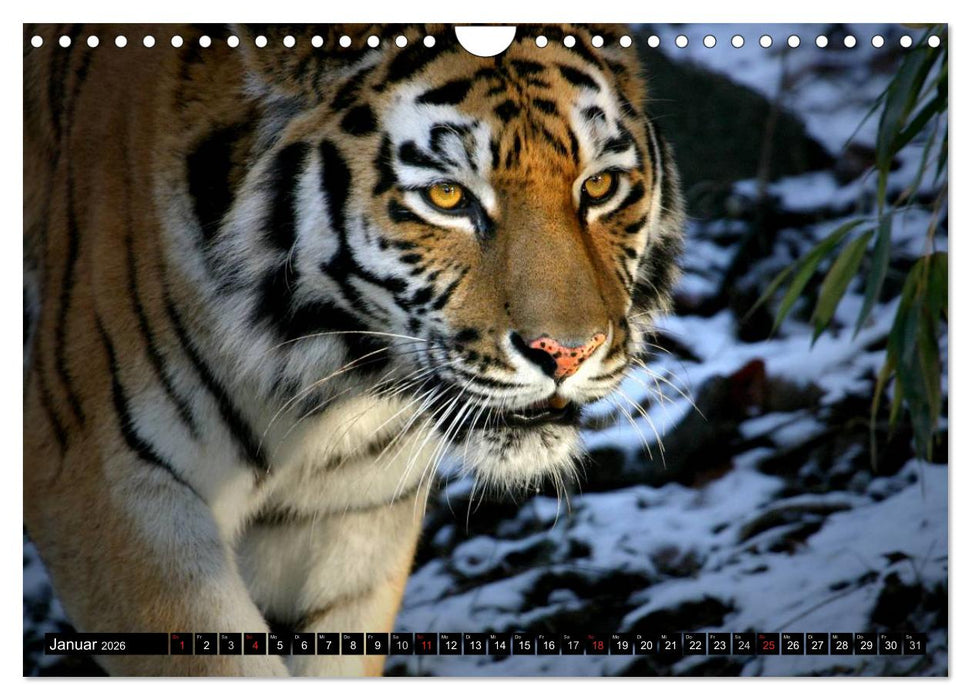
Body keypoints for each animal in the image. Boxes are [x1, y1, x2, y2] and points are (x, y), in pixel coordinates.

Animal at [23, 23, 684, 676]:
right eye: (447, 197)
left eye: (599, 185)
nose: (567, 352)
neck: (320, 381)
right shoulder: (107, 485)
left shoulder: (348, 516)